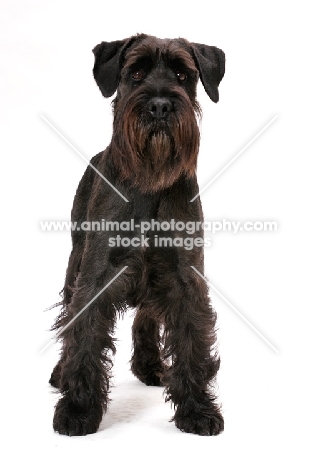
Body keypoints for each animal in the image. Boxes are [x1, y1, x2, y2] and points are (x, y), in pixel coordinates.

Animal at [49, 32, 224, 436]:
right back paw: (60, 373)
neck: (149, 181)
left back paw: (150, 366)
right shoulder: (95, 277)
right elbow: (82, 336)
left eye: (182, 74)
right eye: (136, 73)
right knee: (66, 318)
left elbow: (191, 340)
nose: (159, 105)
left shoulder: (184, 276)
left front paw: (197, 410)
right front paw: (78, 409)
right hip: (73, 263)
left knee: (146, 314)